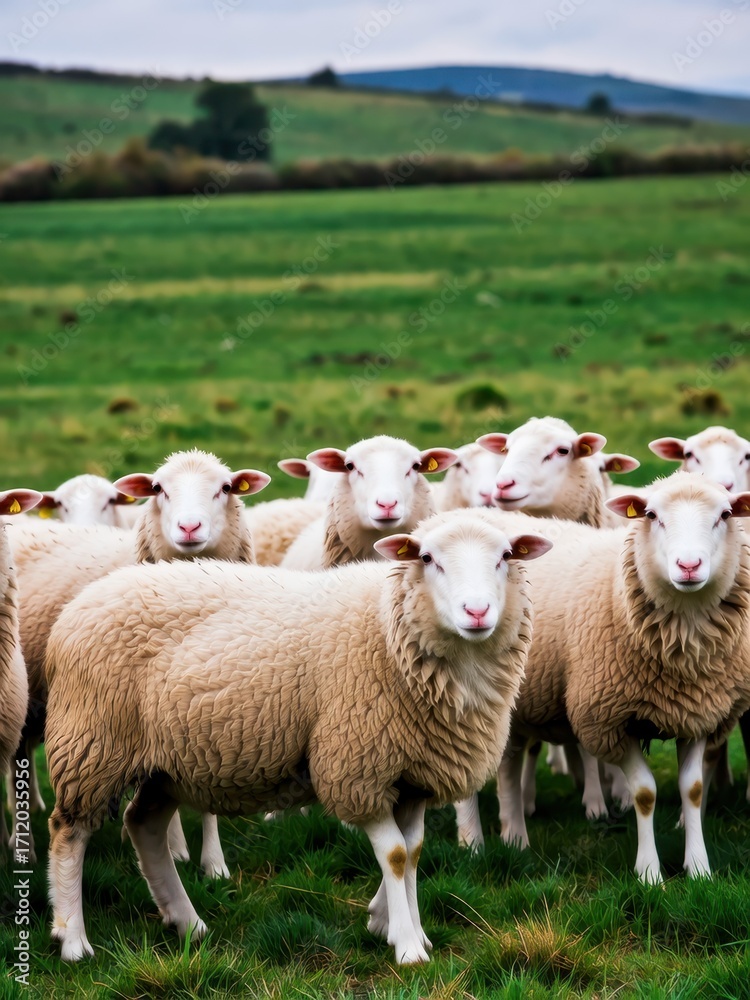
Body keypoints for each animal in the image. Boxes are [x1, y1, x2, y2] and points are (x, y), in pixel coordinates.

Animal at [8, 449, 270, 874]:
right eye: (158, 488)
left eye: (226, 487)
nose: (189, 526)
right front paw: (174, 848)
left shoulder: (207, 699)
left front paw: (213, 864)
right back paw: (22, 841)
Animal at [44, 509, 552, 963]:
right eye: (428, 558)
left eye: (506, 556)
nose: (477, 611)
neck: (388, 630)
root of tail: (79, 605)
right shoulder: (355, 767)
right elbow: (394, 855)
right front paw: (408, 948)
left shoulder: (411, 775)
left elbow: (414, 851)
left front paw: (397, 925)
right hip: (93, 743)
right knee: (70, 834)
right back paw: (73, 940)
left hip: (164, 763)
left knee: (143, 824)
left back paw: (186, 922)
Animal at [485, 473, 750, 883]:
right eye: (651, 515)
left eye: (724, 515)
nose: (688, 565)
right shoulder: (608, 719)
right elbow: (644, 793)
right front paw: (650, 873)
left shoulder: (699, 714)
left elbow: (692, 789)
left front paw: (698, 868)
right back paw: (485, 838)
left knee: (510, 765)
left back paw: (514, 837)